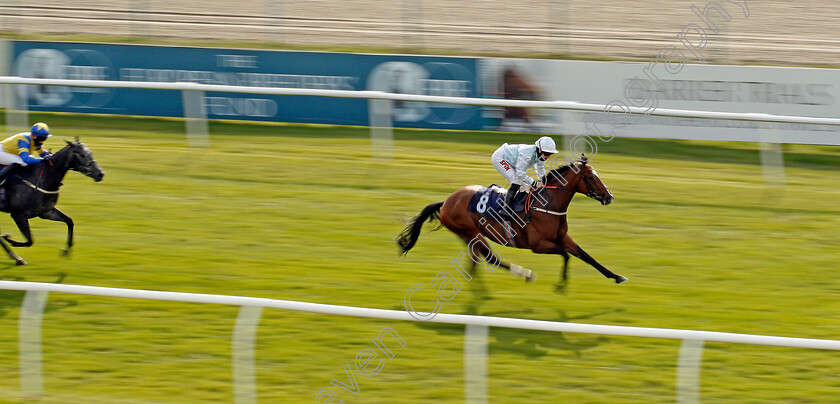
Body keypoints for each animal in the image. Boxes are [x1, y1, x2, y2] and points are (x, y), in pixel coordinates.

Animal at [398, 155, 628, 290]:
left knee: (476, 261)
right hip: (471, 232)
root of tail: (446, 201)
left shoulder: (562, 237)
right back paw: (525, 274)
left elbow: (586, 256)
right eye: (591, 177)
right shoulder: (538, 245)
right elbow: (565, 254)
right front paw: (560, 286)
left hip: (470, 236)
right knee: (490, 258)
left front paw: (617, 276)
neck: (547, 204)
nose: (609, 196)